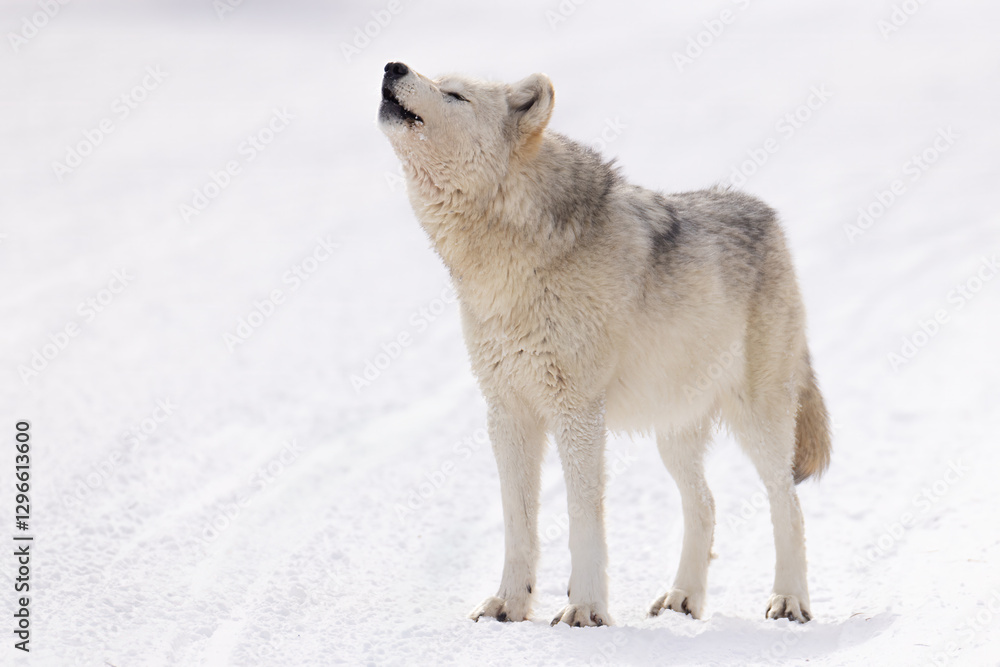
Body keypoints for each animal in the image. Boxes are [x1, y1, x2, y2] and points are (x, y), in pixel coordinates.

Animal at [377, 61, 831, 627]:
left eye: (454, 94)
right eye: (436, 79)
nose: (392, 66)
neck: (506, 268)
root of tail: (769, 217)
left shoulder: (578, 411)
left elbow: (582, 519)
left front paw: (585, 610)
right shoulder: (507, 411)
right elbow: (517, 522)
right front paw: (509, 604)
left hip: (759, 422)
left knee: (788, 506)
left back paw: (789, 600)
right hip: (673, 431)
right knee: (705, 505)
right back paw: (682, 598)